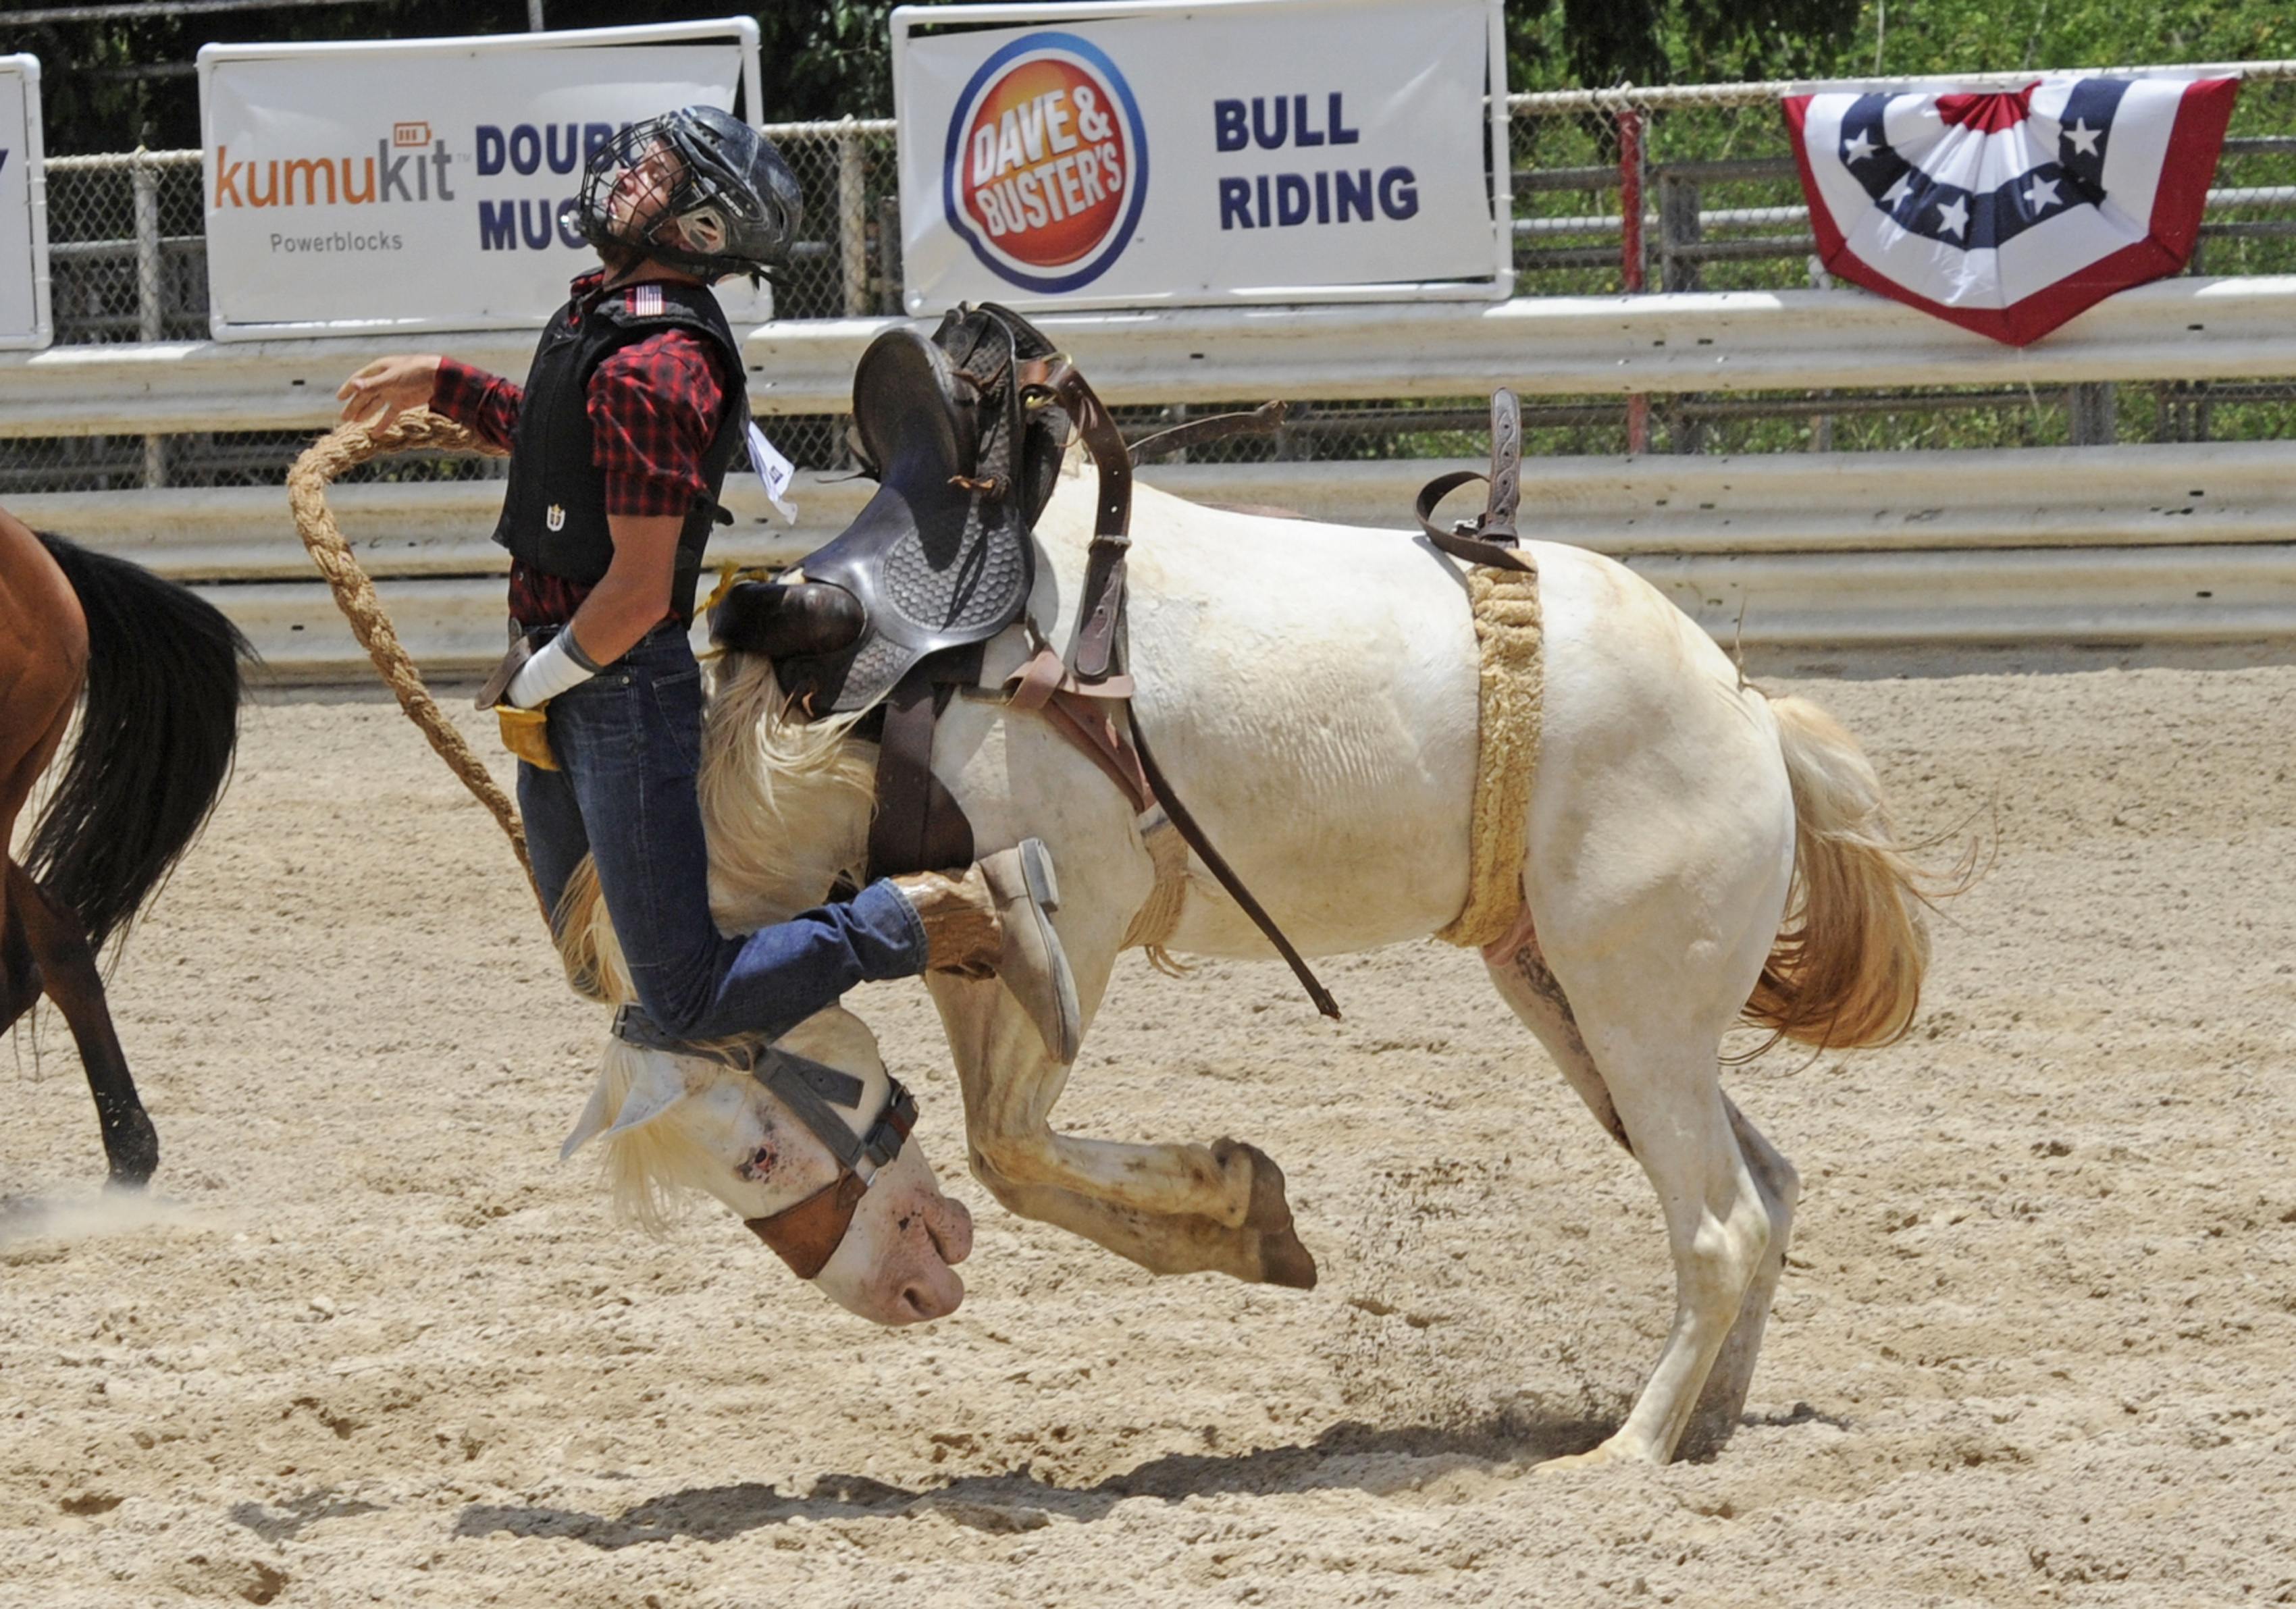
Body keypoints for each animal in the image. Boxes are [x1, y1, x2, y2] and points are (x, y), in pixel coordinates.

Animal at [555, 445, 1937, 1460]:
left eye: (760, 1145)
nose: (904, 1293)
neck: (862, 717)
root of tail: (1751, 712)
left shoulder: (1078, 917)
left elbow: (1011, 1139)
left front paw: (1237, 1199)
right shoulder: (967, 958)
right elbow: (1005, 1147)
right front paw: (1245, 1217)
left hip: (1635, 1007)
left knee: (1718, 1227)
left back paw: (1630, 1451)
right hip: (1576, 996)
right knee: (1767, 1190)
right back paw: (1709, 1425)